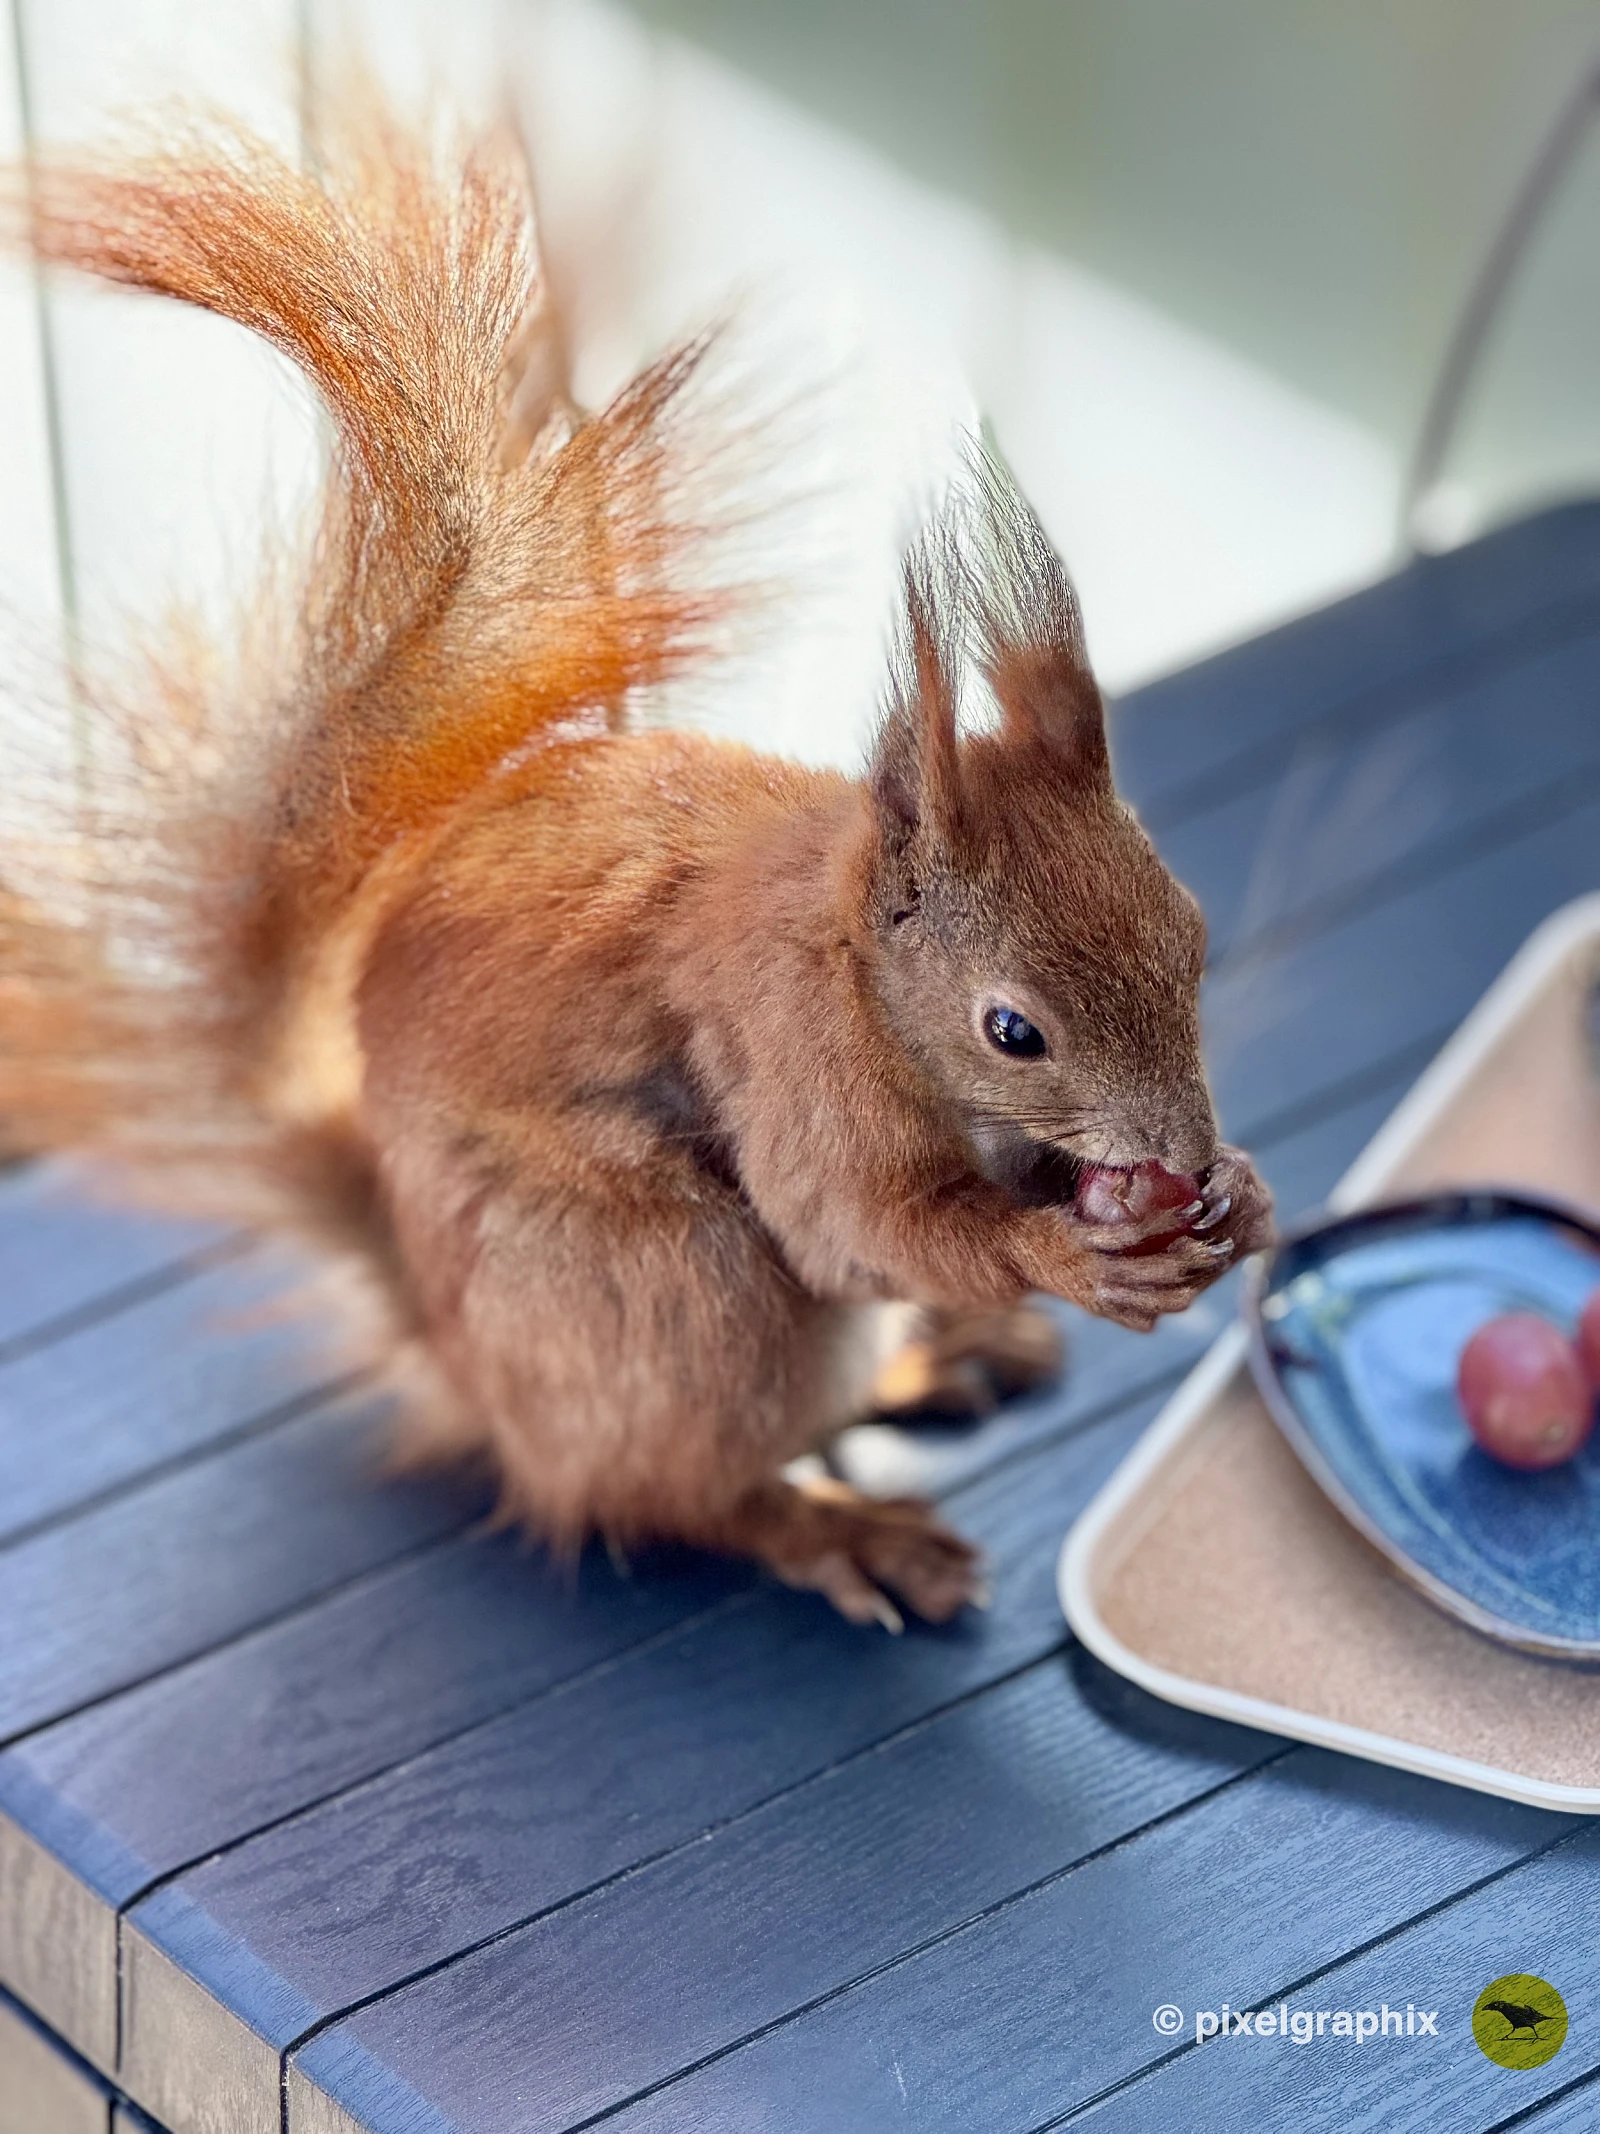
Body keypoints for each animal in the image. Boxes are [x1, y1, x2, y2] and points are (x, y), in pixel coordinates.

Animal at [0, 96, 1272, 1628]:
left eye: (1190, 931)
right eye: (1011, 1029)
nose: (1181, 1151)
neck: (853, 968)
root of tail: (470, 1365)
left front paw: (1241, 1196)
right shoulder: (793, 1071)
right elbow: (857, 1224)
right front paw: (1063, 1252)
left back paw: (943, 1357)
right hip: (680, 1294)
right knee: (677, 1489)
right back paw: (846, 1524)